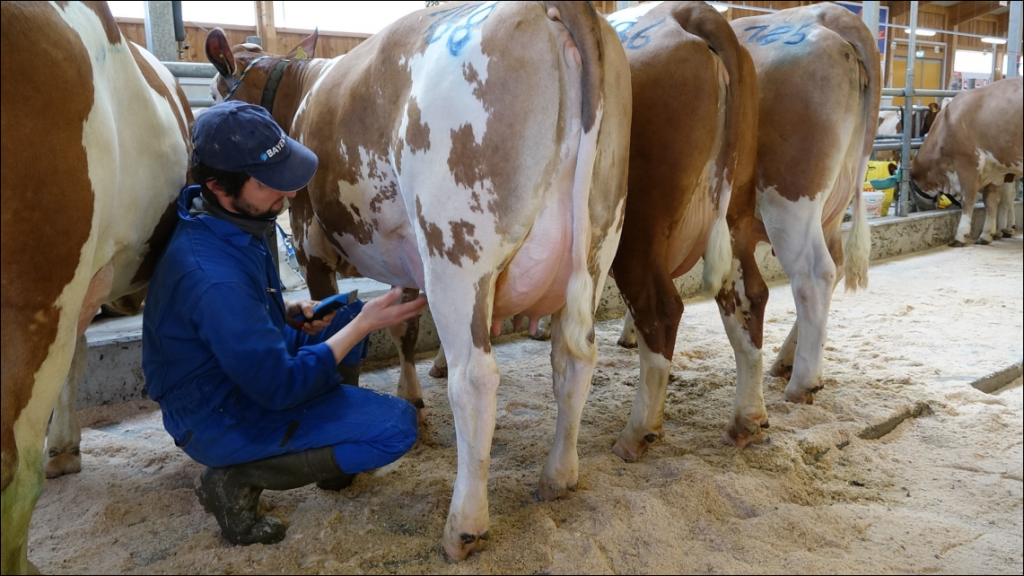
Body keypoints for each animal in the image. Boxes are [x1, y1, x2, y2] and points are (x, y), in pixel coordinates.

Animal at [203, 0, 630, 557]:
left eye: (214, 93)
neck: (299, 92)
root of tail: (552, 7)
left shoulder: (312, 245)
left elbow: (337, 336)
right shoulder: (404, 255)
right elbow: (404, 327)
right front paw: (412, 400)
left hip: (457, 251)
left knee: (476, 378)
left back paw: (463, 526)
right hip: (599, 243)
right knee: (573, 358)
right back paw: (558, 476)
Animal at [598, 0, 770, 457]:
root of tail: (689, 12)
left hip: (638, 226)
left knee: (660, 309)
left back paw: (637, 432)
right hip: (737, 210)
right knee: (748, 295)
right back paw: (746, 419)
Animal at [913, 77, 1024, 245]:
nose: (918, 208)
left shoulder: (968, 164)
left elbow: (969, 198)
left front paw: (960, 235)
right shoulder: (996, 170)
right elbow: (992, 201)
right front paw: (987, 234)